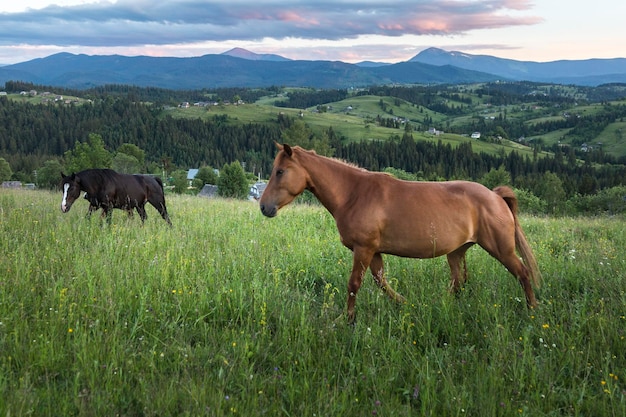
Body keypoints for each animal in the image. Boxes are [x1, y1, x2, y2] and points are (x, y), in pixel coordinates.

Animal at [258, 145, 536, 324]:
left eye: (280, 171)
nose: (264, 207)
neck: (353, 194)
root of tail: (495, 196)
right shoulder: (374, 251)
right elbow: (381, 281)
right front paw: (404, 303)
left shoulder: (364, 249)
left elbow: (354, 284)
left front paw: (348, 319)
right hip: (456, 252)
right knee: (458, 282)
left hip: (501, 249)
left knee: (522, 273)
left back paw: (532, 311)